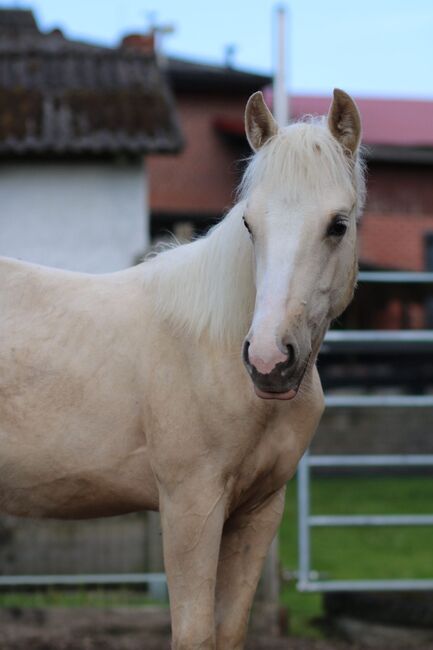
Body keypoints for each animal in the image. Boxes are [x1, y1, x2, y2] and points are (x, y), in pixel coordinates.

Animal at [0, 88, 364, 644]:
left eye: (338, 225)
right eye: (249, 224)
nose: (268, 360)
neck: (212, 348)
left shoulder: (259, 511)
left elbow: (229, 631)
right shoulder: (190, 507)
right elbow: (194, 634)